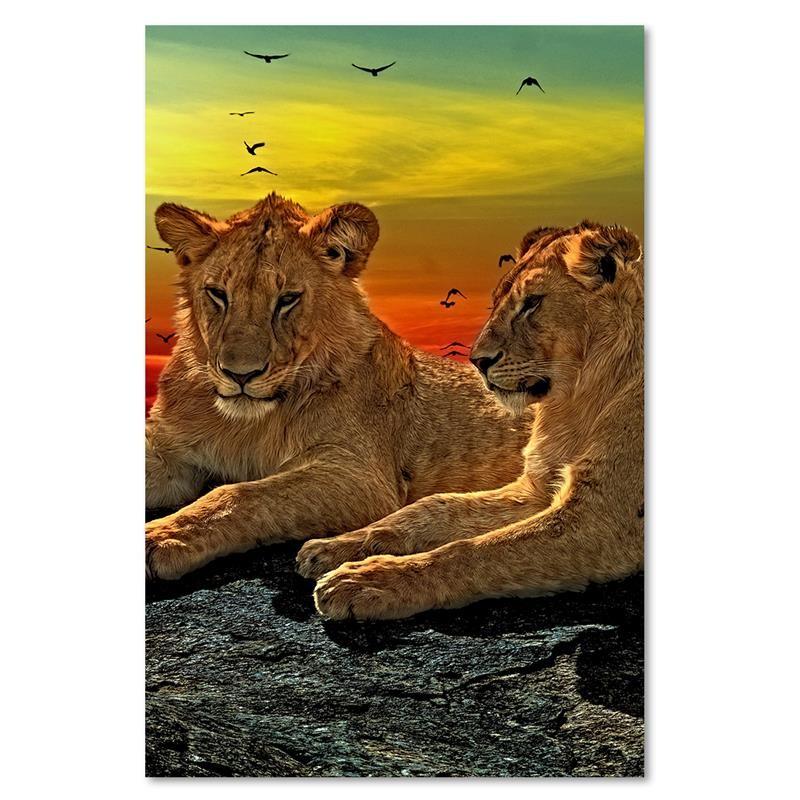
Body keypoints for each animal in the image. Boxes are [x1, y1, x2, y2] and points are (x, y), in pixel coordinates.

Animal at [145, 193, 532, 579]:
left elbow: (242, 494)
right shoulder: (167, 446)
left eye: (287, 299)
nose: (241, 375)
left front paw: (161, 536)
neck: (249, 422)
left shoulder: (361, 476)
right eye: (217, 294)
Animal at [297, 220, 644, 620]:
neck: (579, 401)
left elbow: (475, 550)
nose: (478, 361)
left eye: (532, 303)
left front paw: (369, 579)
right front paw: (334, 545)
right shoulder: (536, 489)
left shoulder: (603, 520)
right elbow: (433, 507)